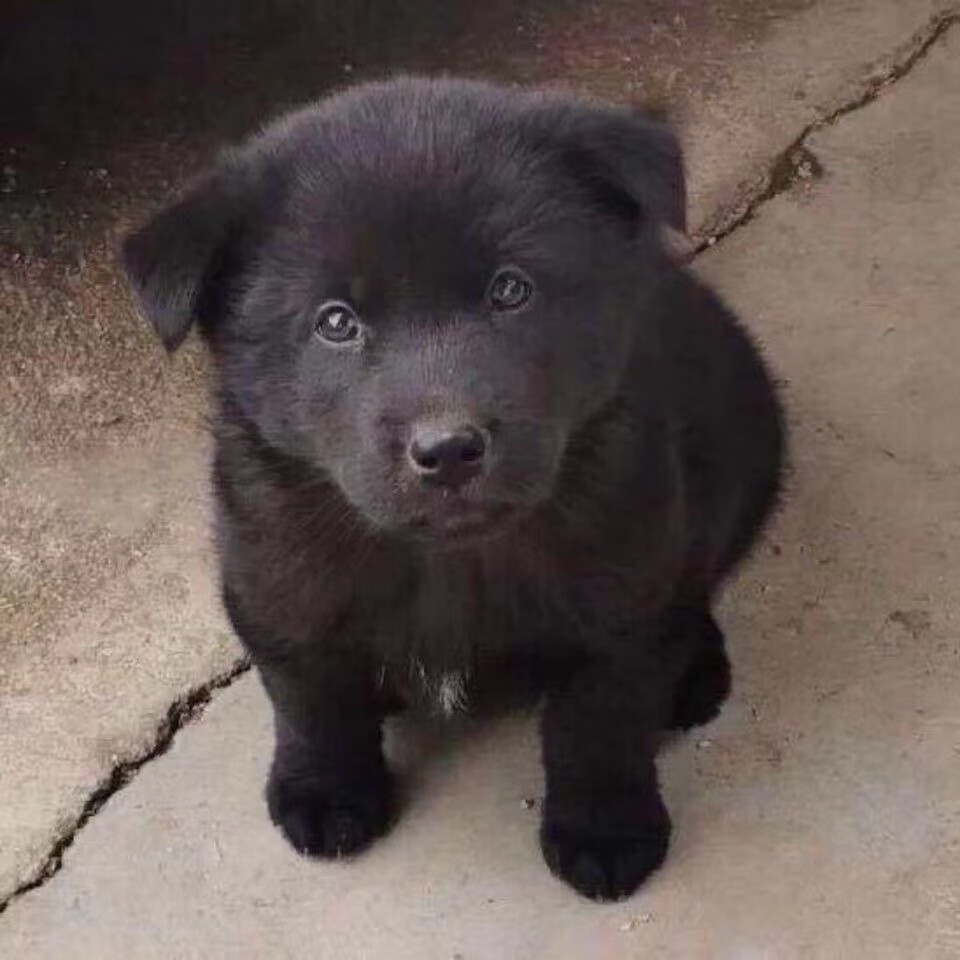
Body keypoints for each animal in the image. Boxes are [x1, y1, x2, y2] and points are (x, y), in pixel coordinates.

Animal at [120, 77, 784, 900]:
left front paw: (605, 827)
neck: (445, 561)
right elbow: (310, 701)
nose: (449, 449)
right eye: (335, 322)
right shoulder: (274, 582)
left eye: (510, 290)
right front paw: (324, 791)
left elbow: (600, 721)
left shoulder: (622, 595)